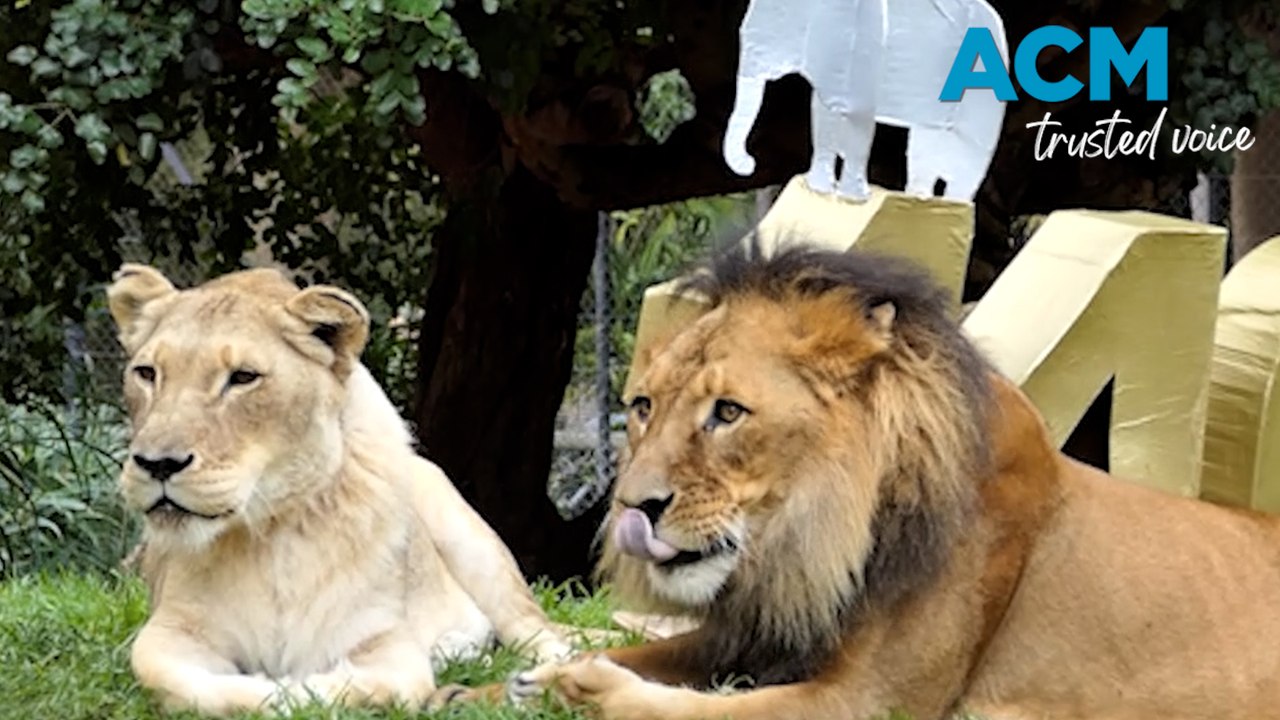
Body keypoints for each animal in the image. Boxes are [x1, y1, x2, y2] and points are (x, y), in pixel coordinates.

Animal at [106, 263, 570, 716]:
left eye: (243, 378)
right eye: (147, 373)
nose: (157, 464)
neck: (271, 535)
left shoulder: (386, 642)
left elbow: (365, 688)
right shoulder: (171, 628)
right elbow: (185, 684)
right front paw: (267, 687)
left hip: (476, 548)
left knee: (539, 631)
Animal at [441, 241, 1280, 720]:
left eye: (728, 413)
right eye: (644, 407)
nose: (631, 507)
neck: (812, 545)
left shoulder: (872, 699)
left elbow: (693, 711)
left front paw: (577, 685)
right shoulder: (749, 638)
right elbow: (638, 658)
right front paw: (471, 689)